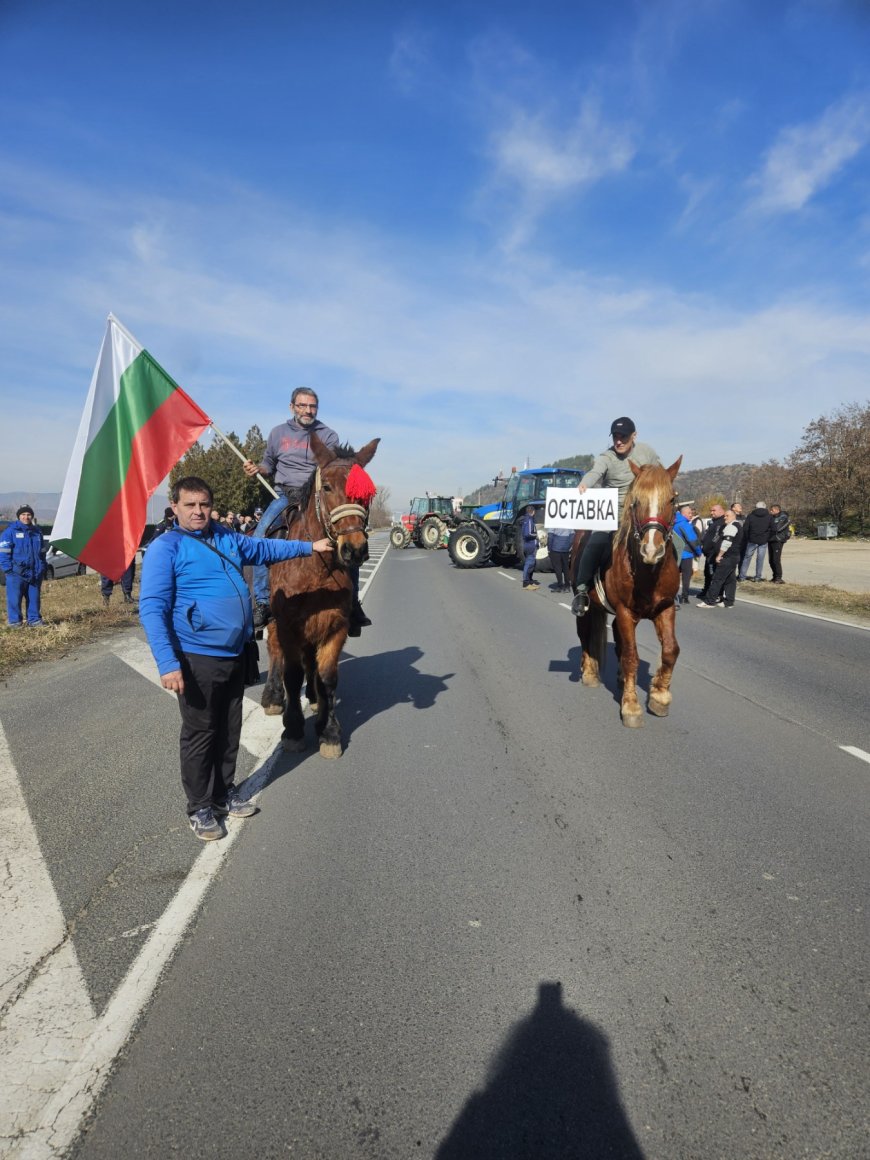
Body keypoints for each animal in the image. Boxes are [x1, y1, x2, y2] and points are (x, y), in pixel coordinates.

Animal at [261, 433, 380, 751]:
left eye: (366, 495)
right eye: (326, 487)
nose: (354, 549)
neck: (315, 568)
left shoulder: (335, 625)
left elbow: (327, 676)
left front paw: (329, 730)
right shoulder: (288, 626)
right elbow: (292, 674)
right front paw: (292, 728)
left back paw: (314, 700)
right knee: (275, 650)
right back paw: (273, 697)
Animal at [575, 457, 686, 728]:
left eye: (672, 499)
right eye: (636, 501)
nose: (651, 549)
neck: (647, 572)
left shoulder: (666, 608)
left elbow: (670, 650)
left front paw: (659, 696)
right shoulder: (625, 612)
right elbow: (631, 657)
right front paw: (631, 706)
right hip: (587, 609)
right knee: (585, 637)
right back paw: (590, 673)